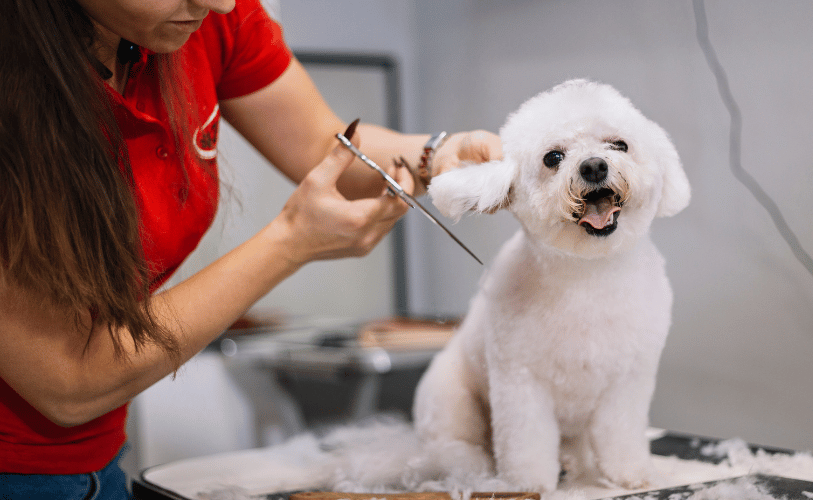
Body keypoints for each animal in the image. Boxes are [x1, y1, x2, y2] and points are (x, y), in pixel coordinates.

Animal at [416, 80, 688, 494]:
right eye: (553, 157)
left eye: (620, 145)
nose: (593, 165)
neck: (587, 276)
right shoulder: (520, 384)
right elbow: (526, 442)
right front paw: (528, 483)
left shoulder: (628, 380)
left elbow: (621, 432)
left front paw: (629, 472)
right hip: (450, 399)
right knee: (453, 443)